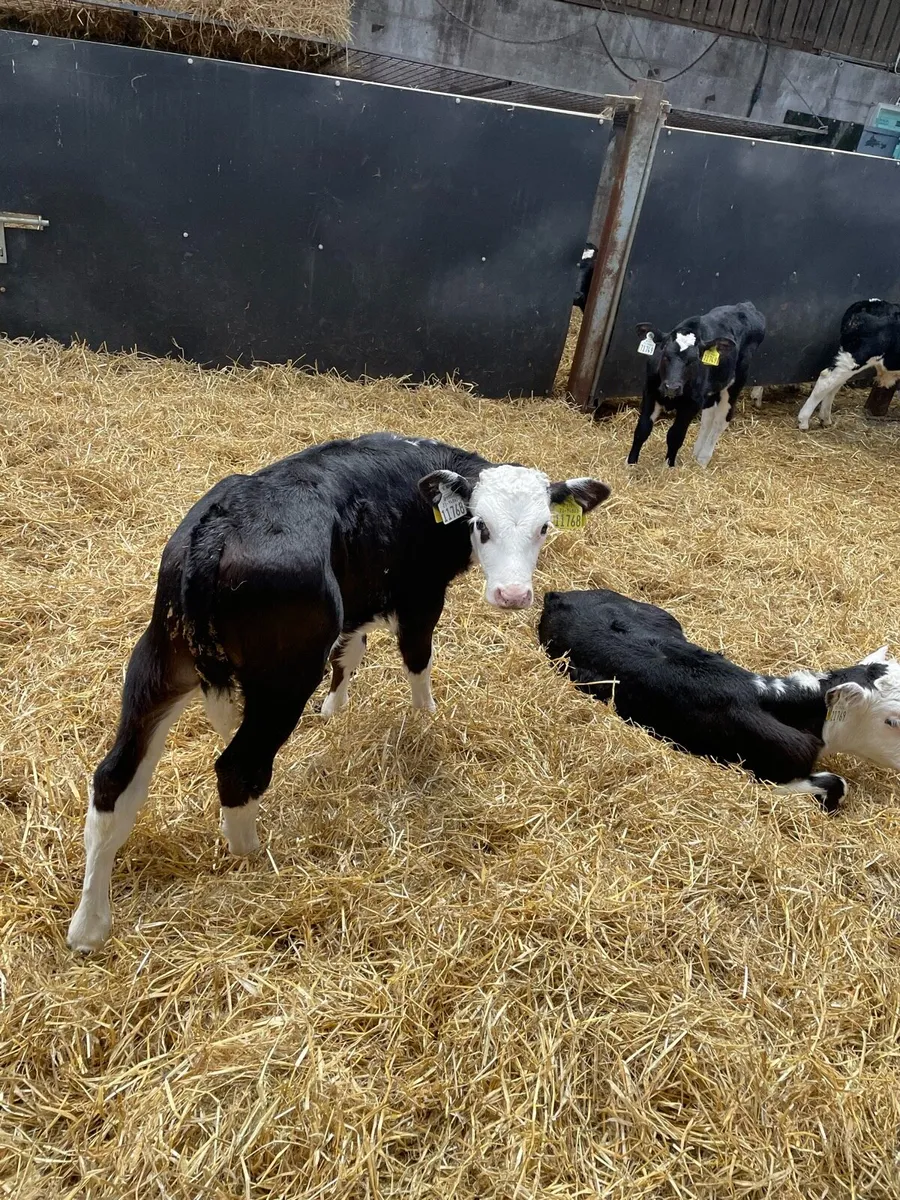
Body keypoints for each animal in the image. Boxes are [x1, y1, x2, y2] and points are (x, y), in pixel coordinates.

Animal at [67, 433, 611, 952]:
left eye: (544, 528)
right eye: (480, 524)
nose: (512, 595)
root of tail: (219, 528)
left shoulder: (359, 600)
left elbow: (349, 652)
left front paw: (335, 710)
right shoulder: (419, 598)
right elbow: (417, 659)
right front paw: (426, 716)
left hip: (160, 660)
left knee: (114, 781)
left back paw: (89, 927)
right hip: (284, 679)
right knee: (238, 769)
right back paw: (251, 854)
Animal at [627, 301, 766, 468]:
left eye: (693, 360)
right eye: (665, 354)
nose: (672, 387)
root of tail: (746, 306)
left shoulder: (692, 403)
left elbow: (675, 435)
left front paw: (668, 466)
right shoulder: (650, 392)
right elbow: (642, 429)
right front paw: (630, 463)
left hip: (735, 383)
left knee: (721, 419)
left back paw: (703, 458)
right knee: (708, 416)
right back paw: (697, 452)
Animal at [798, 299, 900, 430]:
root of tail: (867, 303)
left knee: (833, 385)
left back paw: (825, 419)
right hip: (856, 358)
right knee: (826, 380)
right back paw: (803, 421)